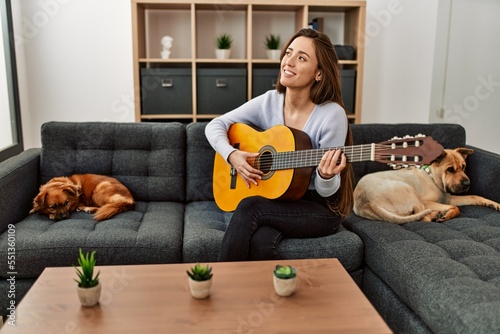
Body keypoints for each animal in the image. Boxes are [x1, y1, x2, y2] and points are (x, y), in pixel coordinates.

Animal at [354, 148, 500, 224]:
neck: (434, 178)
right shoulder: (428, 201)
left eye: (463, 167)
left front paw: (493, 203)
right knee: (424, 217)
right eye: (450, 170)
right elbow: (456, 208)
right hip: (410, 191)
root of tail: (367, 202)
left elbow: (474, 196)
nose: (467, 184)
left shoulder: (449, 198)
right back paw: (438, 214)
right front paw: (447, 214)